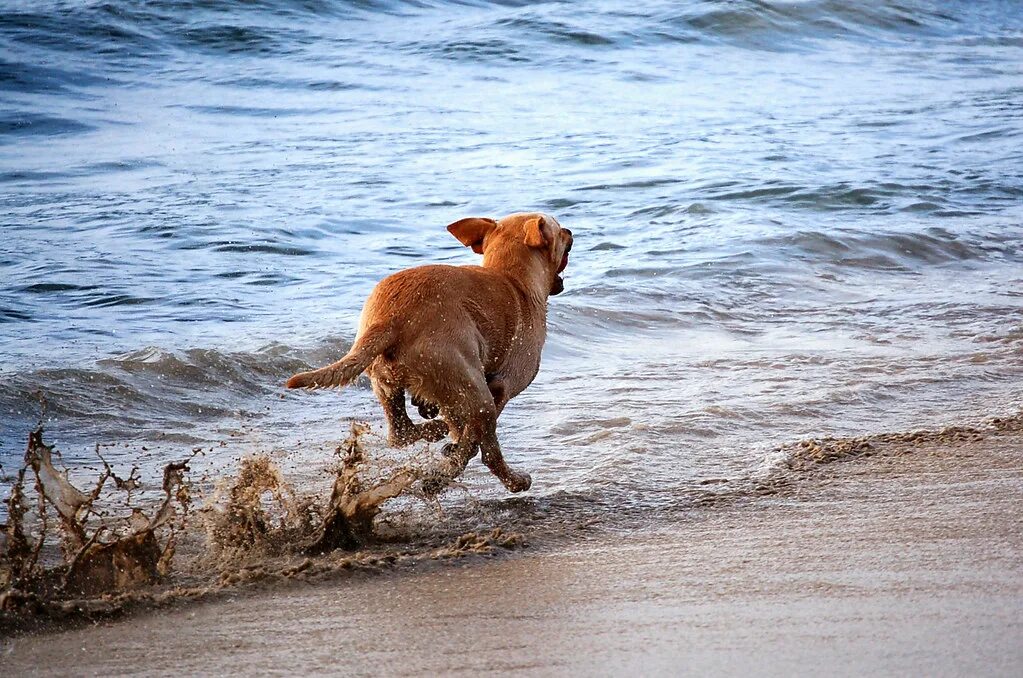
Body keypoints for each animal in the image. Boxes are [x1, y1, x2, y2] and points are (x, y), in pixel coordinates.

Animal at [288, 212, 572, 492]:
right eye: (559, 231)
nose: (570, 231)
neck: (513, 280)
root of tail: (391, 319)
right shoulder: (502, 387)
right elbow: (473, 441)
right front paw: (454, 454)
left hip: (386, 382)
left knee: (401, 433)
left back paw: (435, 431)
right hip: (477, 394)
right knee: (488, 450)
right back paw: (504, 479)